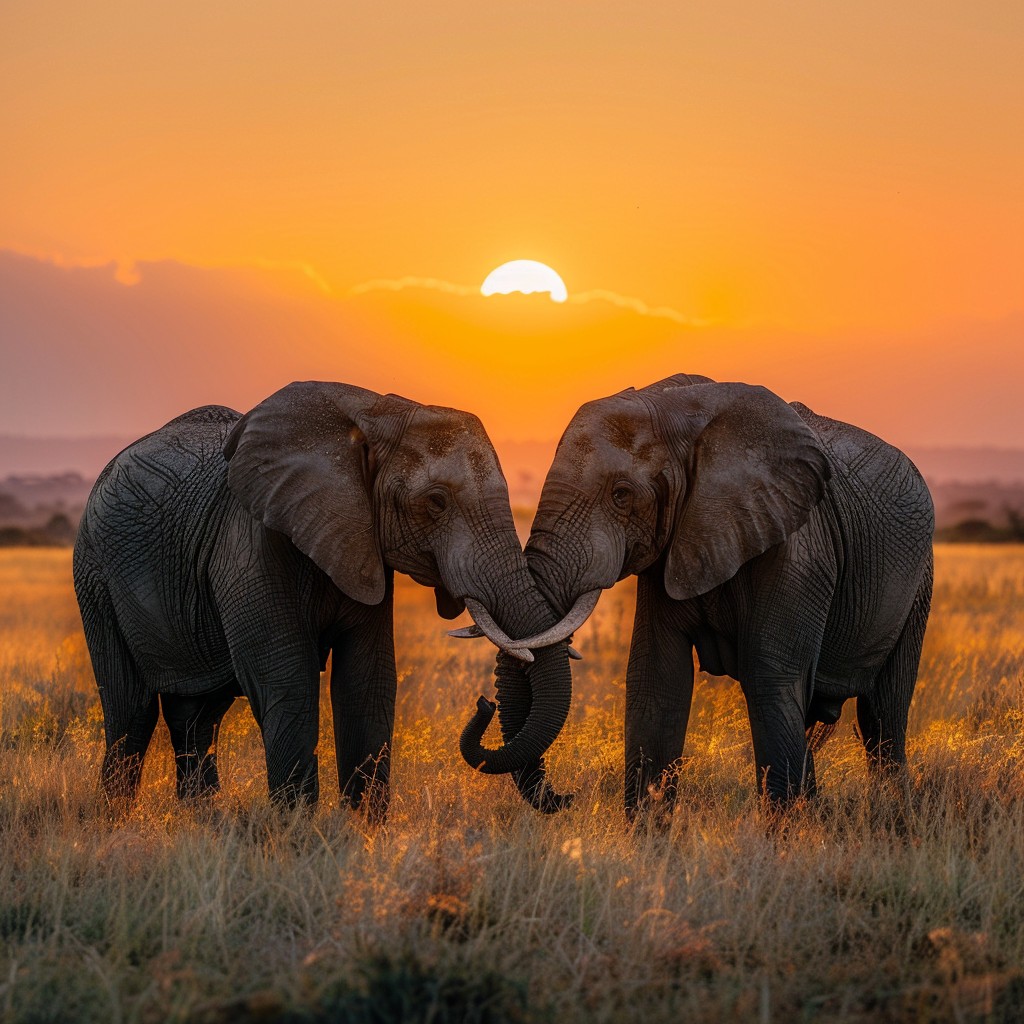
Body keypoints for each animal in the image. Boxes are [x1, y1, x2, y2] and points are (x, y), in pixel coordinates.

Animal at [74, 380, 573, 819]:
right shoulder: (250, 543)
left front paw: (363, 832)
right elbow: (286, 679)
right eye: (436, 502)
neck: (374, 413)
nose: (484, 703)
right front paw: (297, 833)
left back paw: (199, 819)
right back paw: (118, 821)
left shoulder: (363, 545)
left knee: (197, 714)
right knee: (131, 709)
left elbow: (367, 680)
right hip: (94, 574)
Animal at [464, 376, 937, 815]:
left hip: (919, 583)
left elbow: (770, 680)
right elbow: (656, 681)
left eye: (621, 495)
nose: (484, 703)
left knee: (882, 719)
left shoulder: (800, 550)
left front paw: (781, 842)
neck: (681, 411)